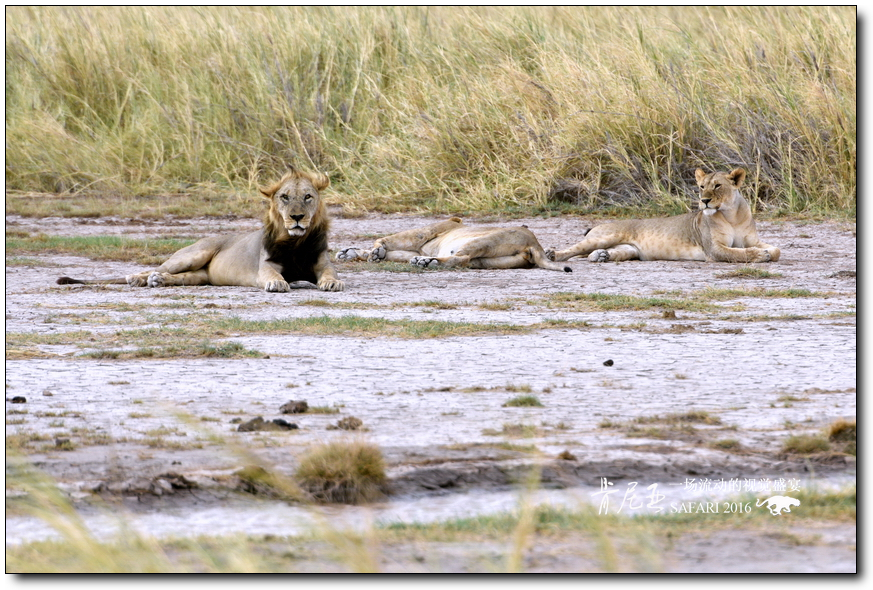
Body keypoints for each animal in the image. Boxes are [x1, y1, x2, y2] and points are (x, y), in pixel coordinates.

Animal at [56, 169, 344, 294]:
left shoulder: (322, 262)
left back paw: (158, 281)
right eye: (284, 197)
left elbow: (330, 273)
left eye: (308, 197)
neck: (296, 242)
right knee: (157, 268)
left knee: (180, 278)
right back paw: (139, 279)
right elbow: (272, 275)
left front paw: (332, 283)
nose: (297, 217)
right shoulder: (265, 266)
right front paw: (277, 283)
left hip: (201, 275)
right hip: (193, 255)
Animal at [548, 170, 780, 264]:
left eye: (717, 186)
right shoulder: (713, 249)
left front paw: (768, 252)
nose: (704, 201)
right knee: (574, 250)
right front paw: (760, 255)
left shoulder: (753, 239)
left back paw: (601, 256)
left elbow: (777, 250)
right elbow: (738, 253)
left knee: (598, 254)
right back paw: (552, 254)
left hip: (630, 249)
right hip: (606, 236)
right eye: (701, 186)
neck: (731, 215)